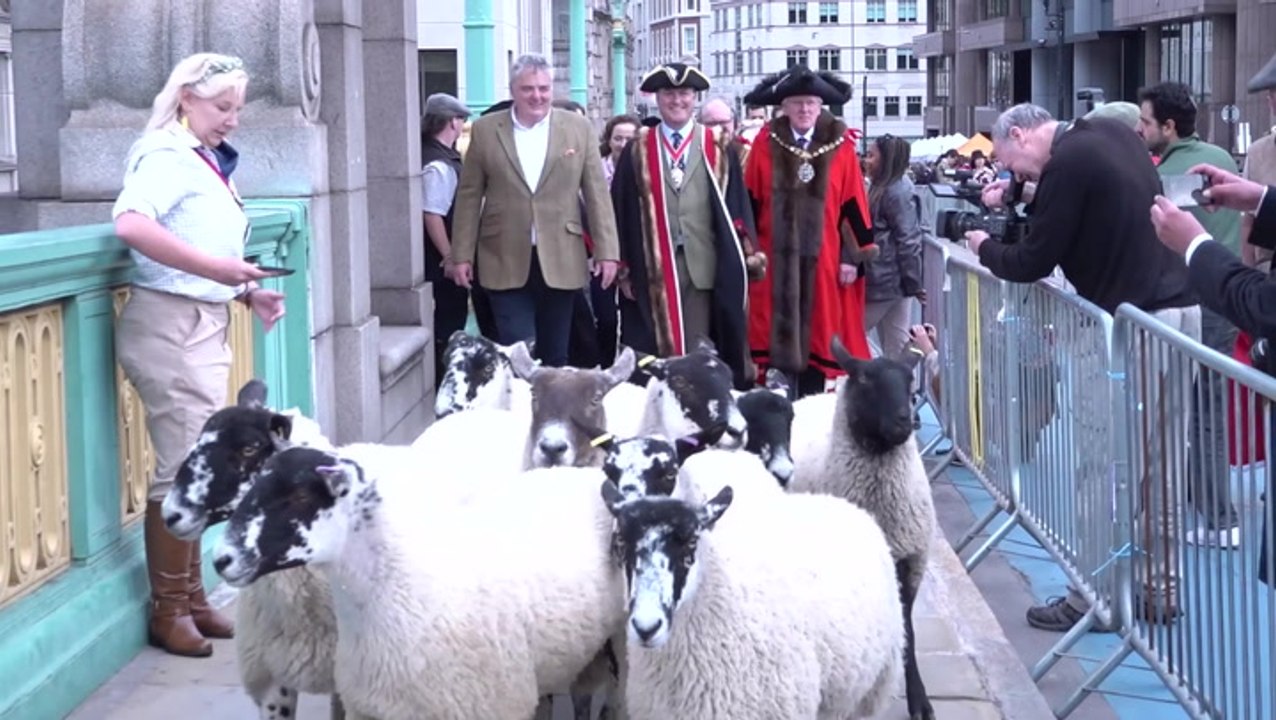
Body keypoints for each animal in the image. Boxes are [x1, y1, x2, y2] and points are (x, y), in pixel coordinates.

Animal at [786, 339, 939, 720]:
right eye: (866, 379)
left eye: (910, 383)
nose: (905, 421)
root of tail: (817, 395)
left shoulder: (910, 562)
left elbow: (908, 630)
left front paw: (919, 700)